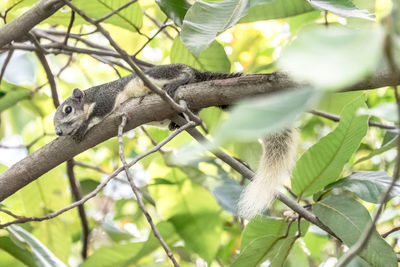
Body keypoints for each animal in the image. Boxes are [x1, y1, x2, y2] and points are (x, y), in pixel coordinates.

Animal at [53, 63, 296, 219]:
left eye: (67, 109)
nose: (57, 132)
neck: (89, 98)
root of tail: (199, 73)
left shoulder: (106, 98)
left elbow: (96, 115)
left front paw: (82, 127)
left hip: (159, 75)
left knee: (183, 75)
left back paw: (180, 82)